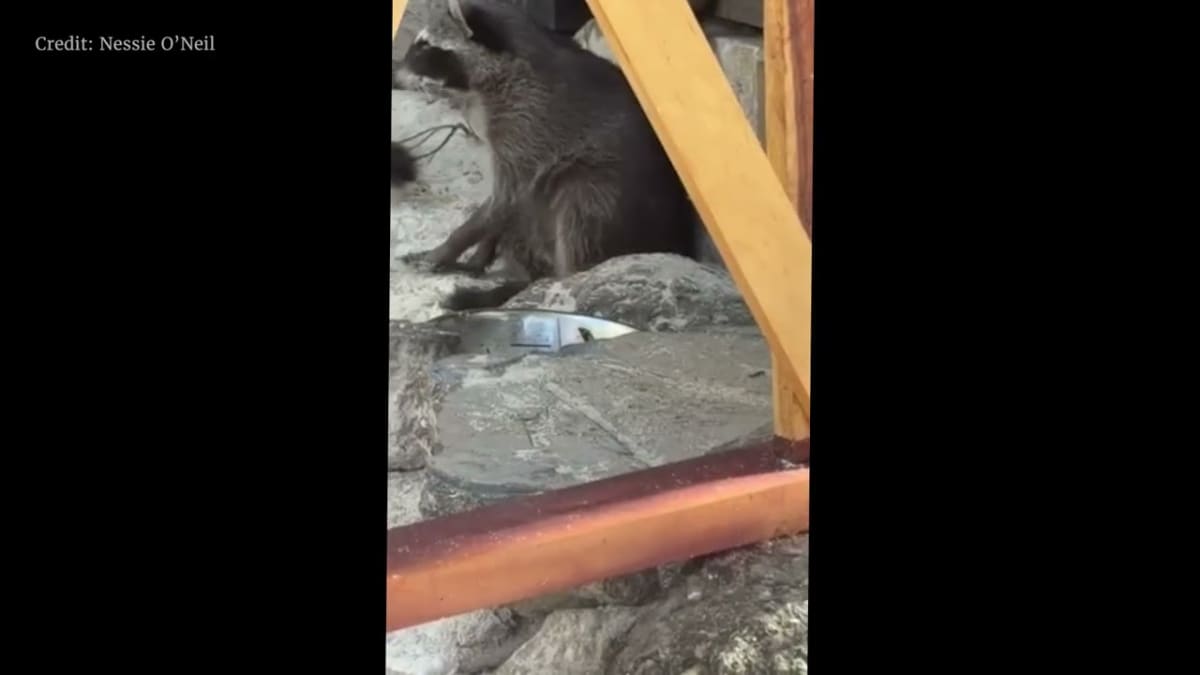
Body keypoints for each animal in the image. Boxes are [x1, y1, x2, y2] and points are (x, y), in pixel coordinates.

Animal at [396, 0, 697, 310]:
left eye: (424, 46)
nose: (397, 71)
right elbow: (504, 203)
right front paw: (478, 254)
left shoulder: (525, 126)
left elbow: (503, 200)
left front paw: (450, 247)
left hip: (605, 188)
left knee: (576, 210)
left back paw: (548, 280)